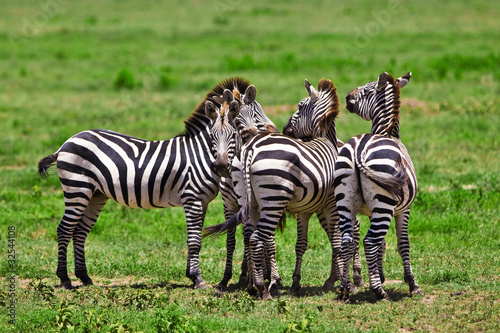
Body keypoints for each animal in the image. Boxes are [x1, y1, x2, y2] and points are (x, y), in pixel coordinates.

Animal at [36, 81, 240, 290]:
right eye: (213, 136)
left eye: (233, 135)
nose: (221, 166)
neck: (200, 153)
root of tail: (66, 143)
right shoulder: (192, 199)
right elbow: (195, 241)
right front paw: (197, 279)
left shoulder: (202, 201)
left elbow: (195, 237)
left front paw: (191, 276)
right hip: (77, 188)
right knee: (64, 230)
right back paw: (65, 279)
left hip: (95, 194)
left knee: (79, 231)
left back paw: (84, 277)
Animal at [205, 78, 342, 298]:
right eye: (212, 136)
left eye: (299, 107)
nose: (284, 129)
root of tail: (251, 149)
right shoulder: (329, 203)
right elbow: (337, 240)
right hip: (275, 201)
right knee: (255, 237)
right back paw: (261, 286)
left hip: (262, 203)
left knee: (252, 236)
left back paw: (257, 284)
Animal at [334, 71, 424, 300]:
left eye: (367, 89)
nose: (347, 97)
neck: (386, 131)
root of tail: (359, 148)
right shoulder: (404, 210)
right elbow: (403, 244)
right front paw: (412, 284)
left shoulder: (370, 210)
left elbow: (383, 245)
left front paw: (380, 275)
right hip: (384, 204)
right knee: (369, 241)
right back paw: (379, 292)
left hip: (345, 201)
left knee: (348, 240)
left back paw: (345, 289)